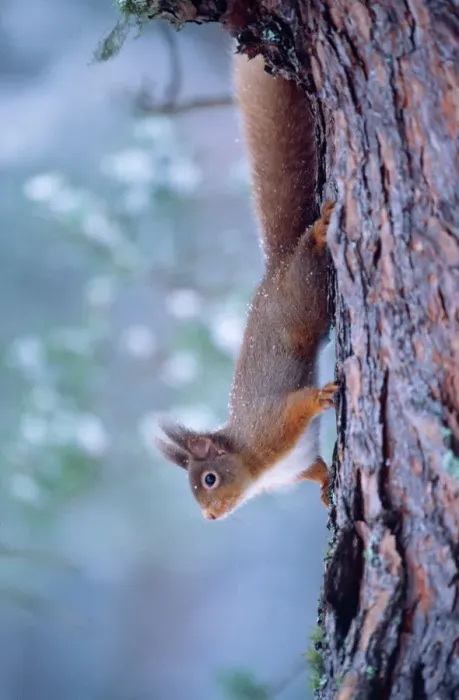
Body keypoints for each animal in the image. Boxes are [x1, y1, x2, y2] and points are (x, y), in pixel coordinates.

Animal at [156, 51, 337, 520]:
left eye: (209, 479)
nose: (210, 517)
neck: (257, 471)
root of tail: (276, 267)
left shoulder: (272, 426)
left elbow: (297, 405)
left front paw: (321, 397)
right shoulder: (297, 464)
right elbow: (316, 469)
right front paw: (327, 488)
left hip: (305, 295)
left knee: (309, 257)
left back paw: (318, 231)